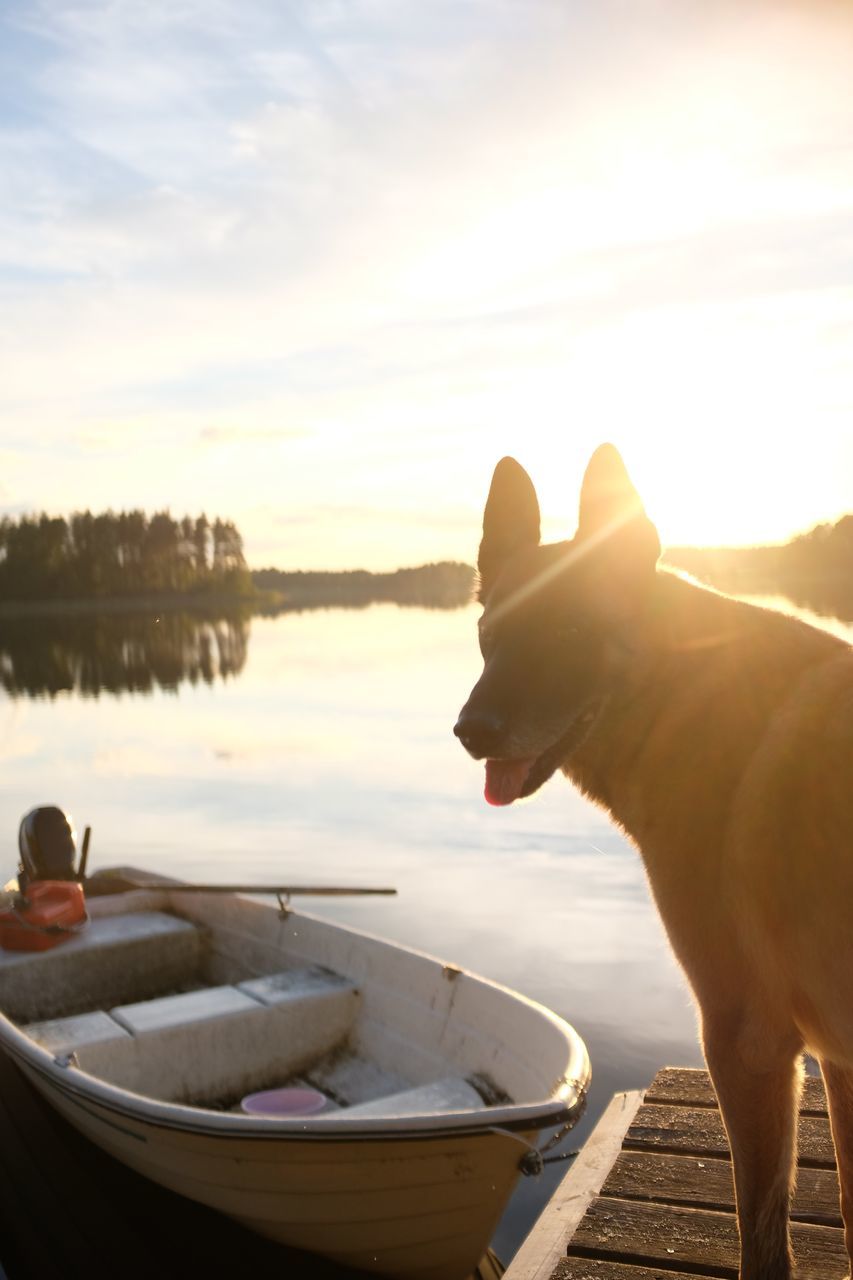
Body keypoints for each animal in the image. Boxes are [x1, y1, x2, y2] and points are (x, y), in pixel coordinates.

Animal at [455, 445, 850, 1274]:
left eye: (572, 627)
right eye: (488, 632)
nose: (471, 730)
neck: (685, 695)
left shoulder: (746, 1041)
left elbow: (761, 1236)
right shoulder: (836, 1057)